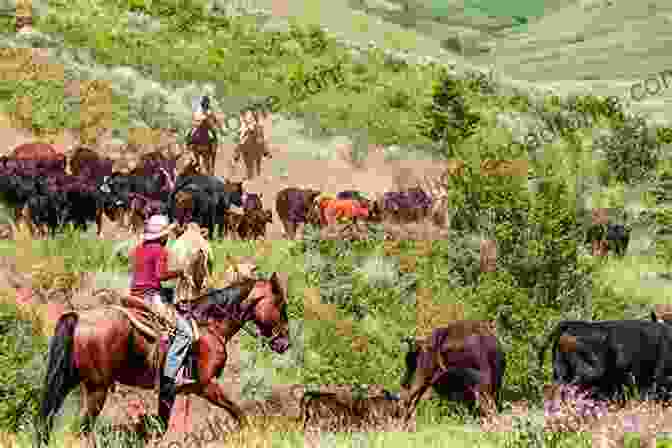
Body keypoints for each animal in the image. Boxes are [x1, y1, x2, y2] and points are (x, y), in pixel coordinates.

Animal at [35, 272, 290, 446]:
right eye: (281, 305)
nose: (285, 343)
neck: (210, 325)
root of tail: (77, 316)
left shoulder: (170, 390)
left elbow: (160, 425)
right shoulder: (206, 386)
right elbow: (238, 413)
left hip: (69, 381)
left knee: (49, 418)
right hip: (97, 389)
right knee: (82, 429)